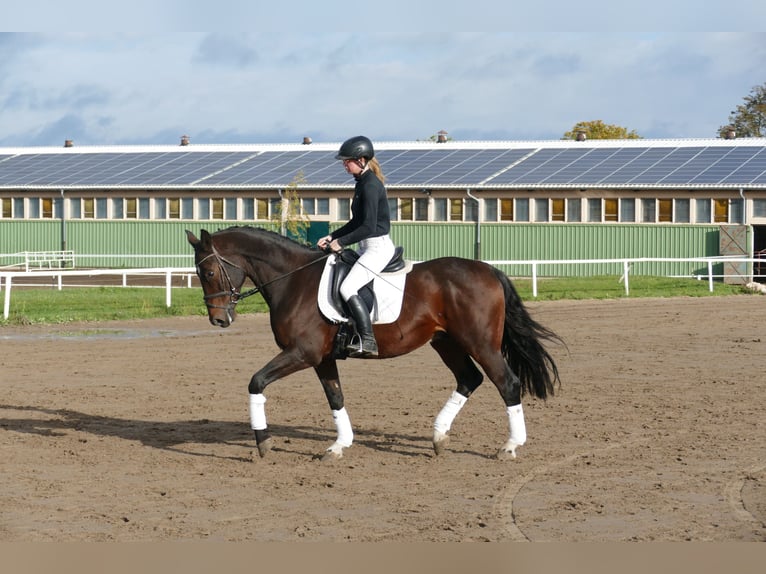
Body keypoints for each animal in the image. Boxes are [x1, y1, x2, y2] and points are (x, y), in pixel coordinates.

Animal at [184, 227, 560, 462]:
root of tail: (489, 270)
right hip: (447, 342)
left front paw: (263, 442)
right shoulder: (321, 358)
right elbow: (335, 398)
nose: (218, 320)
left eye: (210, 273)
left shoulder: (302, 353)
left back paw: (509, 447)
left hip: (480, 343)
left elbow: (256, 382)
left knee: (506, 383)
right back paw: (438, 437)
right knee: (470, 379)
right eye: (200, 274)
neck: (293, 280)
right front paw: (339, 446)